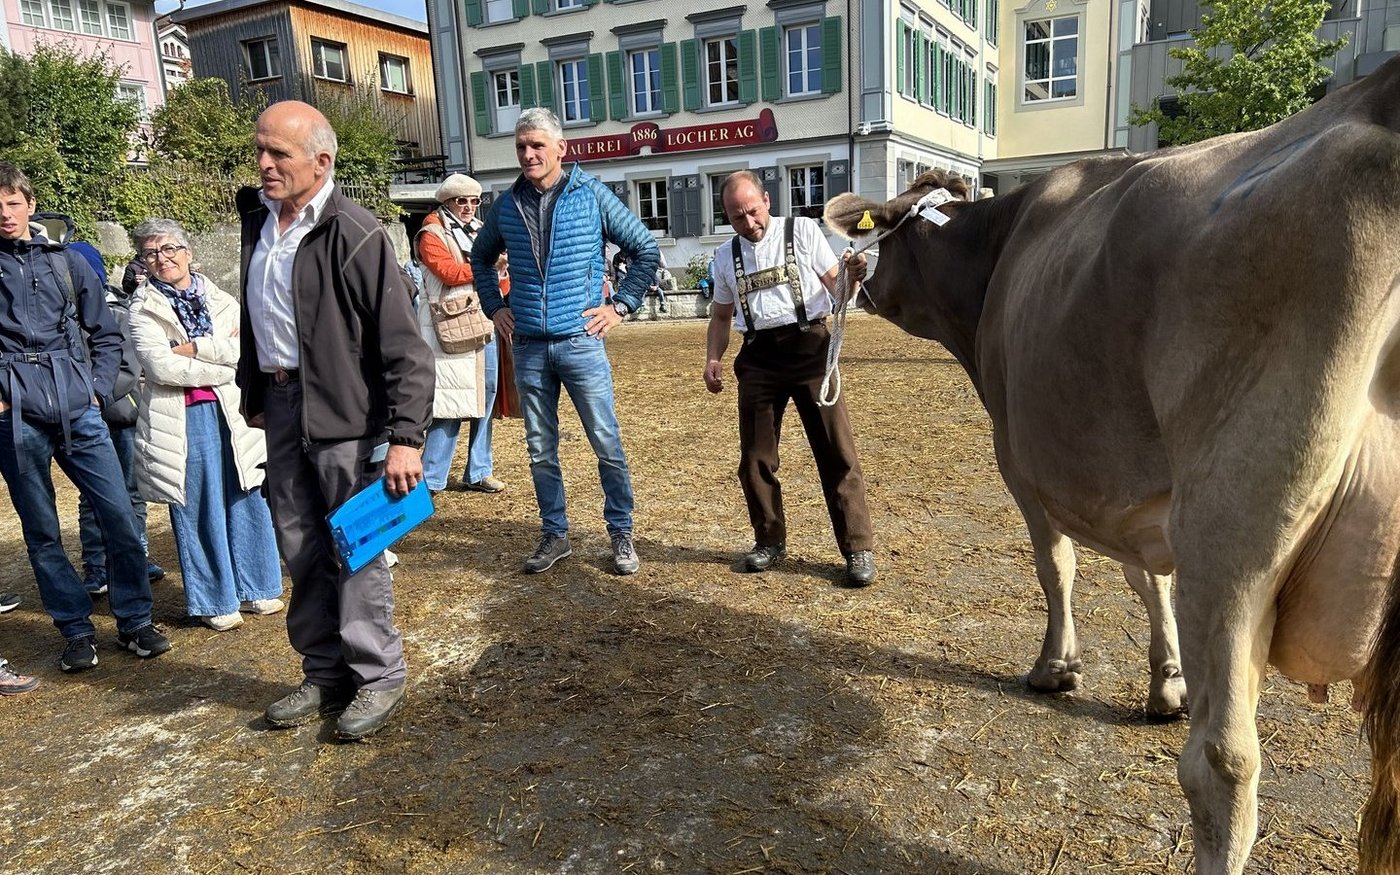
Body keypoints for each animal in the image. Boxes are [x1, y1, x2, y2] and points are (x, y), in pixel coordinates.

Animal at [823, 55, 1400, 875]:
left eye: (889, 238)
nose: (856, 279)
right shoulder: (1137, 491)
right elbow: (1144, 579)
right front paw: (1167, 683)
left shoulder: (1021, 462)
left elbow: (1056, 568)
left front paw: (1055, 667)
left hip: (1233, 524)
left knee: (1223, 763)